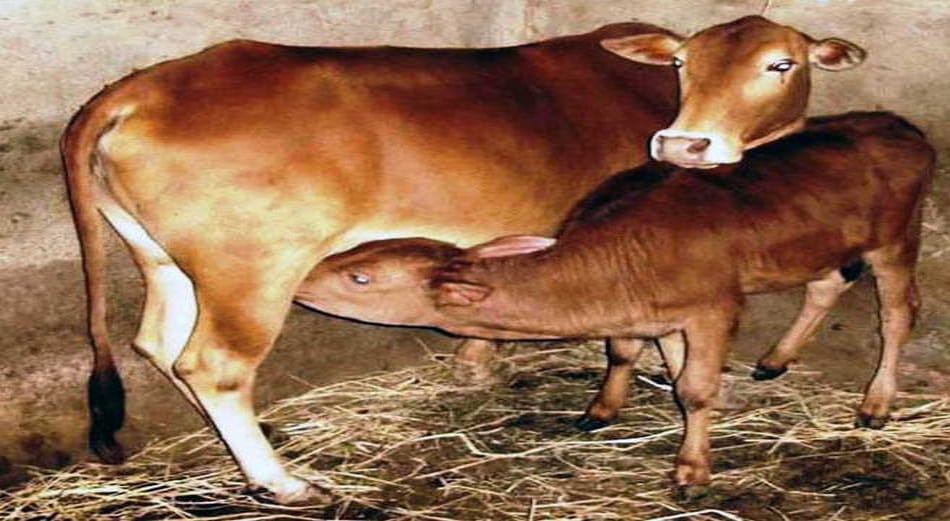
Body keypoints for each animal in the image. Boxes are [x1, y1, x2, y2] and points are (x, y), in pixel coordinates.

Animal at [62, 16, 863, 503]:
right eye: (685, 63)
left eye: (780, 62)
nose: (685, 144)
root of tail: (143, 87)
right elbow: (664, 343)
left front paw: (478, 363)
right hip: (253, 269)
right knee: (215, 363)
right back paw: (284, 482)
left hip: (168, 260)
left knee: (159, 343)